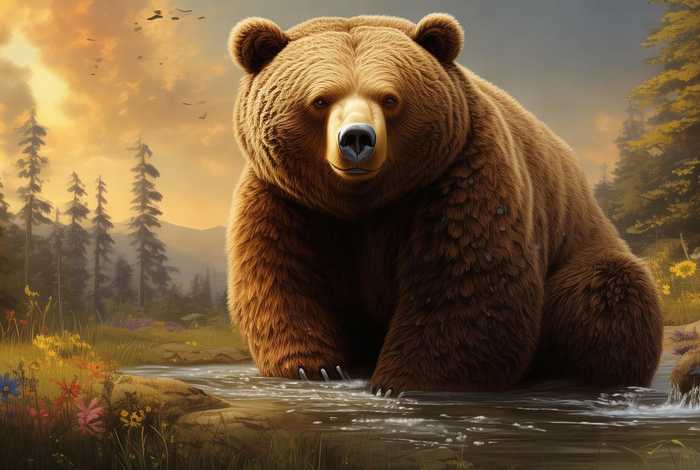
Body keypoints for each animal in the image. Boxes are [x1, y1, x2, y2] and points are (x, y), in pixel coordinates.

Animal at [226, 13, 664, 393]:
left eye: (389, 98)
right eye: (320, 100)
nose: (357, 139)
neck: (364, 202)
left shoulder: (460, 175)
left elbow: (463, 279)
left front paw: (403, 380)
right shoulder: (287, 198)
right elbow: (283, 275)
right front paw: (315, 366)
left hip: (579, 248)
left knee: (609, 289)